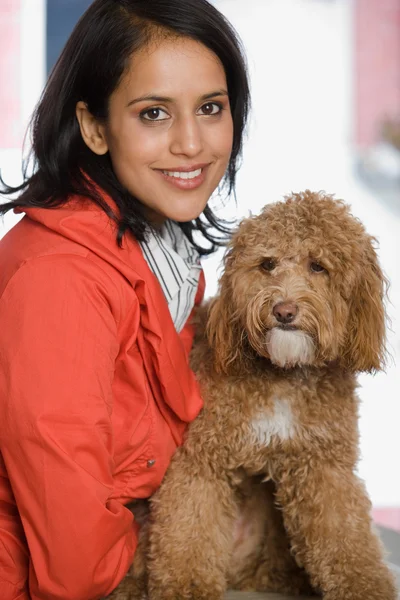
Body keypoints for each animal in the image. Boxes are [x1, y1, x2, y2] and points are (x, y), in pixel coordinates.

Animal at [109, 191, 396, 600]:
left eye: (318, 266)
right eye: (267, 264)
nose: (284, 310)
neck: (281, 373)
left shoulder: (323, 465)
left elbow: (344, 534)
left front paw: (364, 586)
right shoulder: (202, 459)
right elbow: (189, 528)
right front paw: (187, 588)